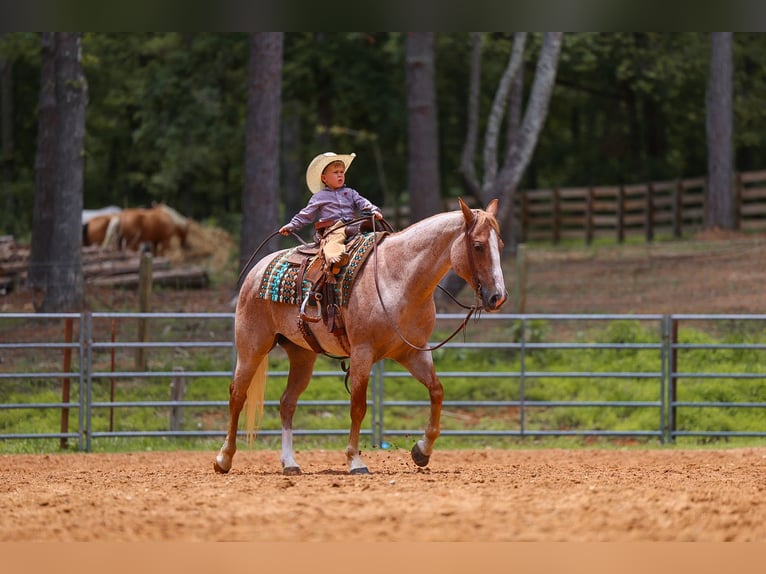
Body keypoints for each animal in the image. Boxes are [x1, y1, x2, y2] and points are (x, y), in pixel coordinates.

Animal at [214, 198, 507, 475]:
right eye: (478, 245)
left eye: (501, 244)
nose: (498, 297)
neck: (398, 277)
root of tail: (257, 271)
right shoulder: (362, 353)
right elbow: (358, 406)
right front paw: (355, 461)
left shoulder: (412, 352)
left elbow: (436, 391)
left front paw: (421, 451)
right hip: (251, 347)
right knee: (237, 395)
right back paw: (224, 459)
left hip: (302, 355)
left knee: (287, 403)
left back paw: (290, 463)